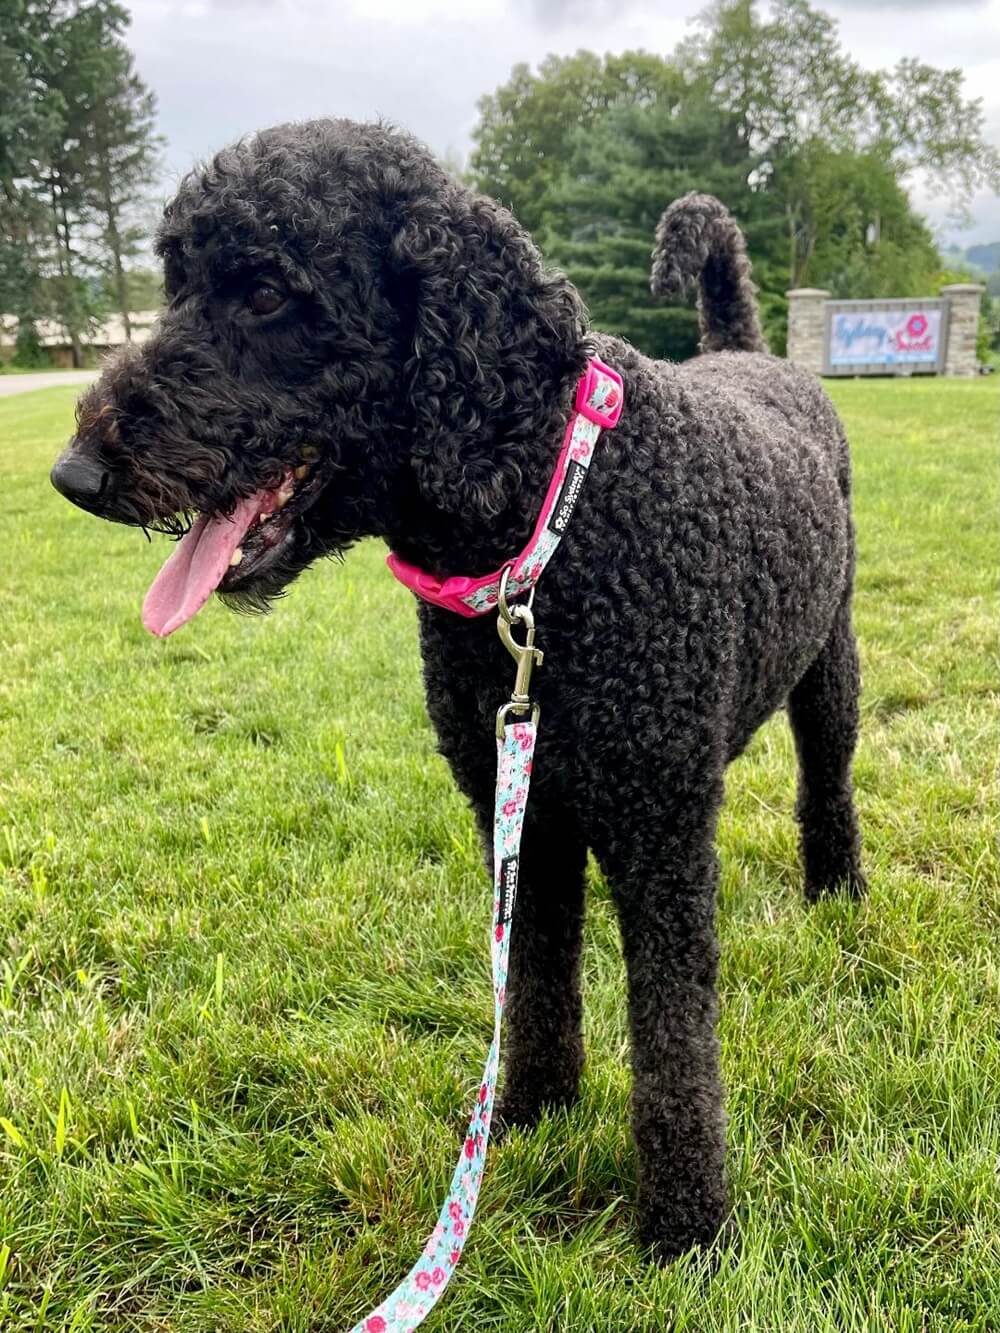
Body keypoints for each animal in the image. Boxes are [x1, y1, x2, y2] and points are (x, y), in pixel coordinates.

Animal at [51, 117, 864, 1258]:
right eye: (176, 285)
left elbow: (671, 1040)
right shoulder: (517, 805)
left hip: (831, 666)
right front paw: (527, 1113)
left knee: (827, 779)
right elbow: (532, 981)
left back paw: (839, 891)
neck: (550, 527)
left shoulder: (657, 834)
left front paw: (686, 1223)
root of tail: (746, 353)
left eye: (267, 292)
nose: (75, 474)